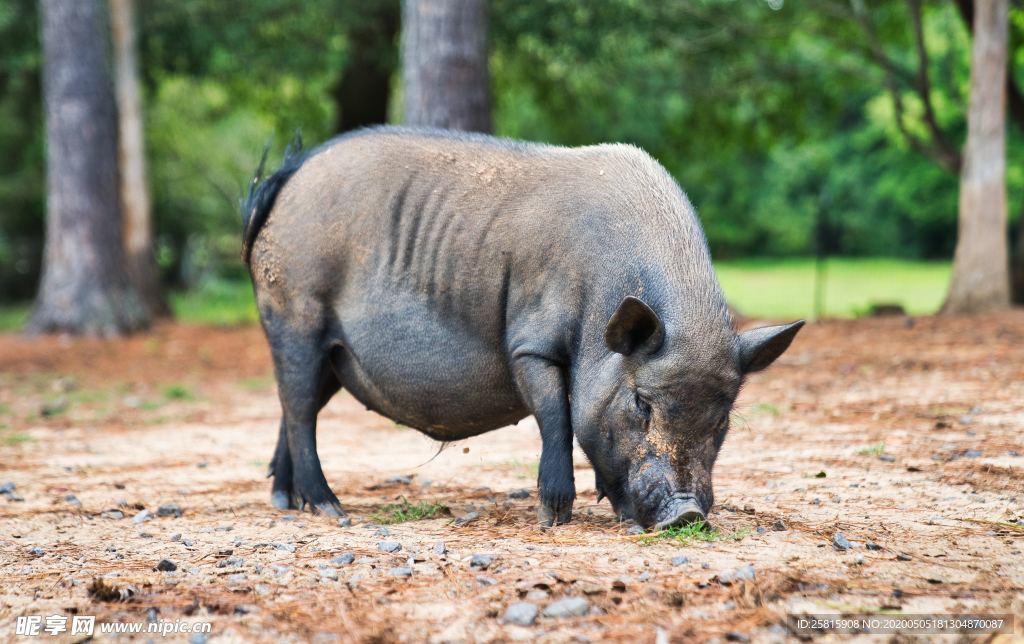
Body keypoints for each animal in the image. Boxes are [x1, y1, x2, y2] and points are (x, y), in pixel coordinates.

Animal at [239, 125, 798, 528]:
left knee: (297, 407)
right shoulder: (532, 343)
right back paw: (331, 510)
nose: (686, 514)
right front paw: (553, 517)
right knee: (299, 408)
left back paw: (285, 500)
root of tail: (292, 173)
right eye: (642, 403)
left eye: (723, 419)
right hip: (293, 312)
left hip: (333, 353)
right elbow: (557, 417)